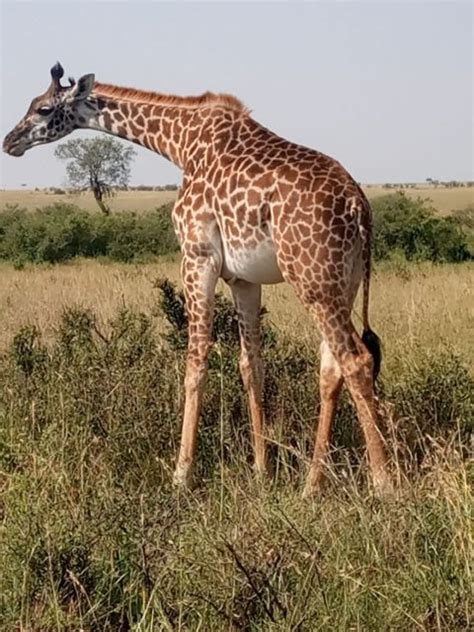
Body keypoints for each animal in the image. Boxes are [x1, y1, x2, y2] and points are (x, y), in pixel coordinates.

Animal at [4, 64, 392, 498]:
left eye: (43, 108)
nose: (10, 141)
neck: (181, 143)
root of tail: (359, 206)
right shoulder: (242, 278)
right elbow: (251, 365)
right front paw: (261, 471)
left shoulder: (197, 257)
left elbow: (195, 364)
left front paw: (181, 474)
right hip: (343, 281)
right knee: (331, 368)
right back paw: (311, 484)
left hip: (312, 279)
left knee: (356, 360)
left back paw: (383, 482)